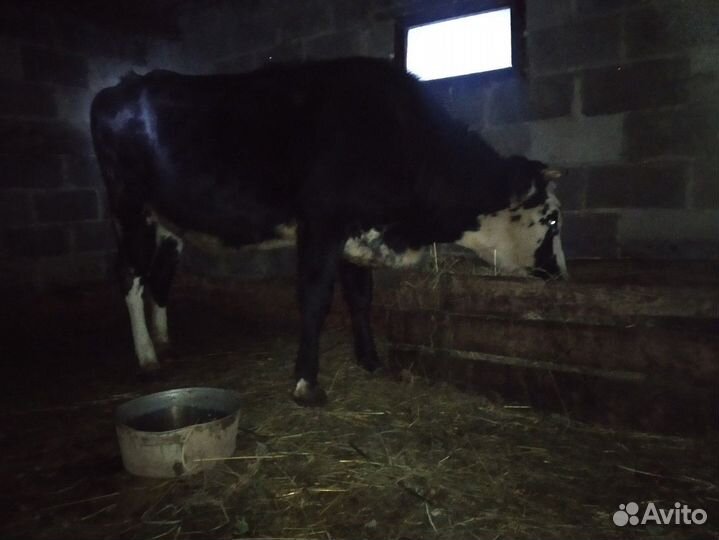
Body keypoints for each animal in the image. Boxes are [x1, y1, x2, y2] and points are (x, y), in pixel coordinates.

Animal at [90, 57, 567, 406]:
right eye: (554, 219)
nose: (561, 275)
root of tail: (119, 87)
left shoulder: (357, 235)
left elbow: (360, 299)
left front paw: (371, 360)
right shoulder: (322, 224)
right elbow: (316, 299)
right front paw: (306, 382)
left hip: (168, 223)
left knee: (160, 277)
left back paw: (165, 340)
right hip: (129, 207)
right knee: (129, 276)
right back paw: (147, 357)